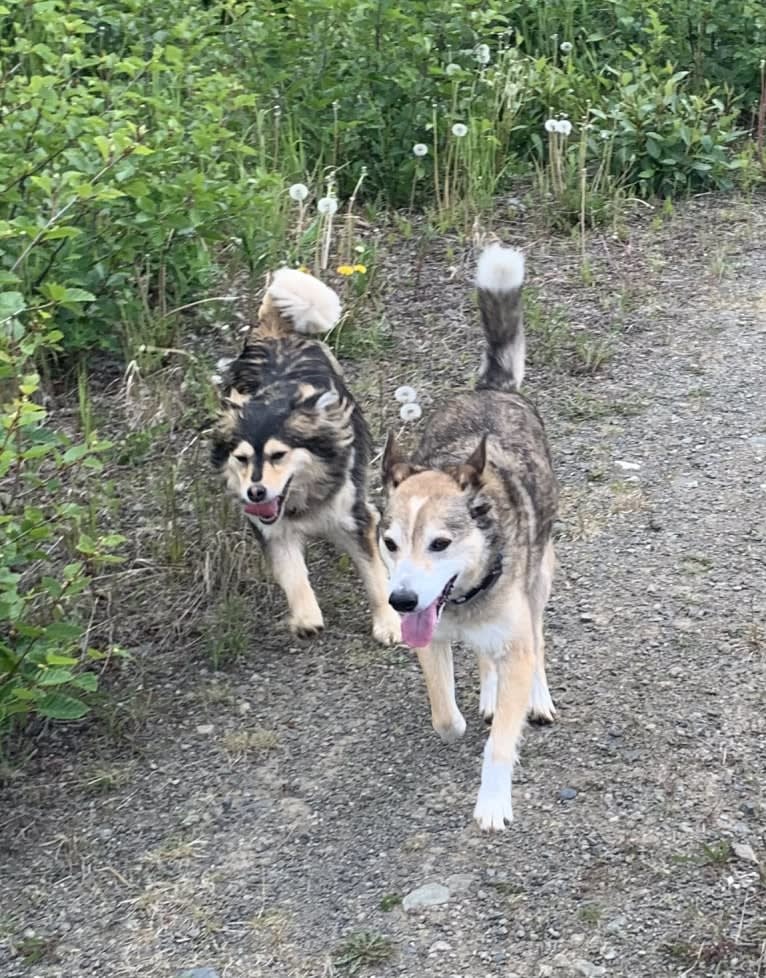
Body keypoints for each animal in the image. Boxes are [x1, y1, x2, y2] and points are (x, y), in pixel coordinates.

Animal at [212, 266, 400, 644]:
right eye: (241, 459)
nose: (256, 492)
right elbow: (292, 573)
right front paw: (305, 617)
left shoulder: (356, 518)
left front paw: (388, 623)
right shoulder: (272, 530)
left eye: (278, 455)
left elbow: (374, 575)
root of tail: (274, 333)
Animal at [382, 246, 560, 832]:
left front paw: (492, 803)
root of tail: (491, 390)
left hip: (540, 578)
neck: (465, 599)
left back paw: (536, 695)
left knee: (537, 639)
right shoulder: (430, 639)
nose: (400, 600)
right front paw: (463, 716)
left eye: (440, 543)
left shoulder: (514, 636)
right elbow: (445, 717)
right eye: (390, 543)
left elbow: (500, 743)